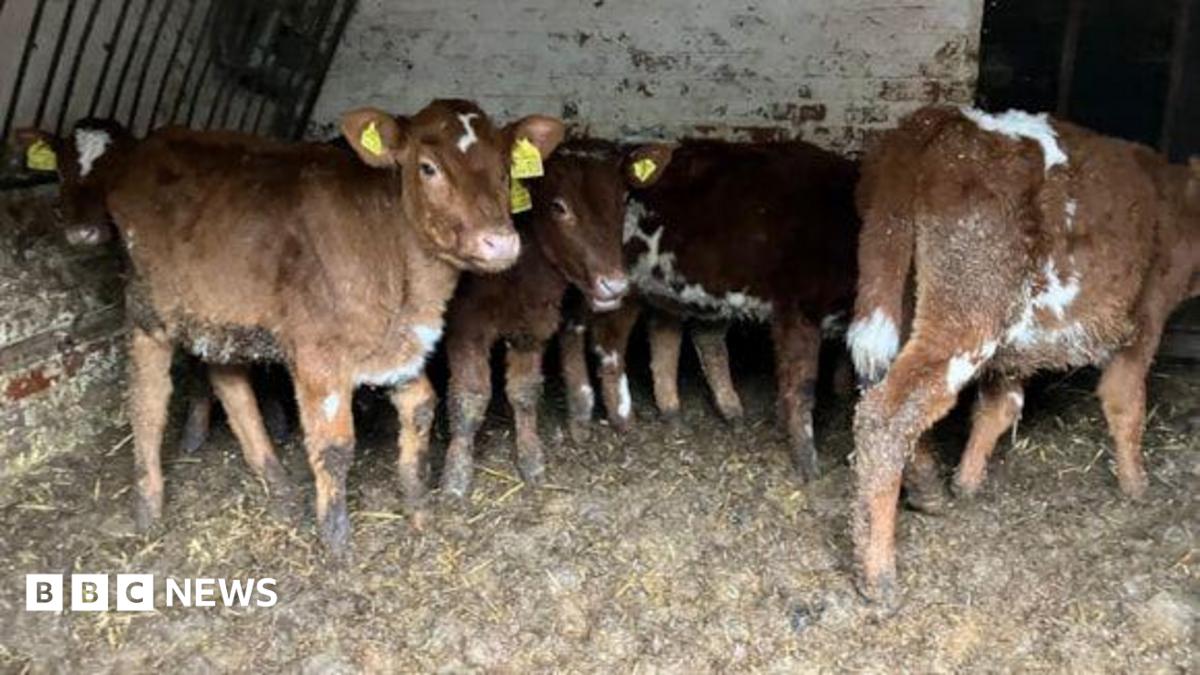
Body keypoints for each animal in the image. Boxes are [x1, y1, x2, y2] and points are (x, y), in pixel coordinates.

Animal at [97, 100, 564, 551]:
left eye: (505, 168)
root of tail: (159, 140)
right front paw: (336, 541)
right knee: (147, 402)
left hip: (220, 316)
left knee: (231, 386)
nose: (500, 242)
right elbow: (335, 447)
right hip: (147, 310)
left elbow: (421, 410)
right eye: (428, 167)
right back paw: (148, 508)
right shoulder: (318, 356)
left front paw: (418, 511)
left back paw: (278, 485)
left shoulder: (402, 346)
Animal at [439, 143, 666, 497]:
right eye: (559, 207)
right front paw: (456, 474)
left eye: (623, 200)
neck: (518, 277)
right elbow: (470, 398)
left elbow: (524, 392)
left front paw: (531, 457)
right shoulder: (467, 325)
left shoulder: (534, 324)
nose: (615, 285)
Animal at [565, 140, 861, 480]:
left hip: (682, 288)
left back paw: (691, 411)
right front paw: (806, 461)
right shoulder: (797, 309)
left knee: (677, 338)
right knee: (604, 338)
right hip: (620, 288)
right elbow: (801, 386)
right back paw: (612, 417)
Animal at [848, 105, 1200, 606]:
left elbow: (999, 407)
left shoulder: (1012, 355)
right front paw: (1136, 485)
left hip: (901, 294)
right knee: (889, 413)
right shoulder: (1145, 319)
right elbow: (1126, 402)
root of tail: (937, 119)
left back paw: (928, 489)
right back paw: (877, 573)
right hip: (969, 309)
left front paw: (967, 482)